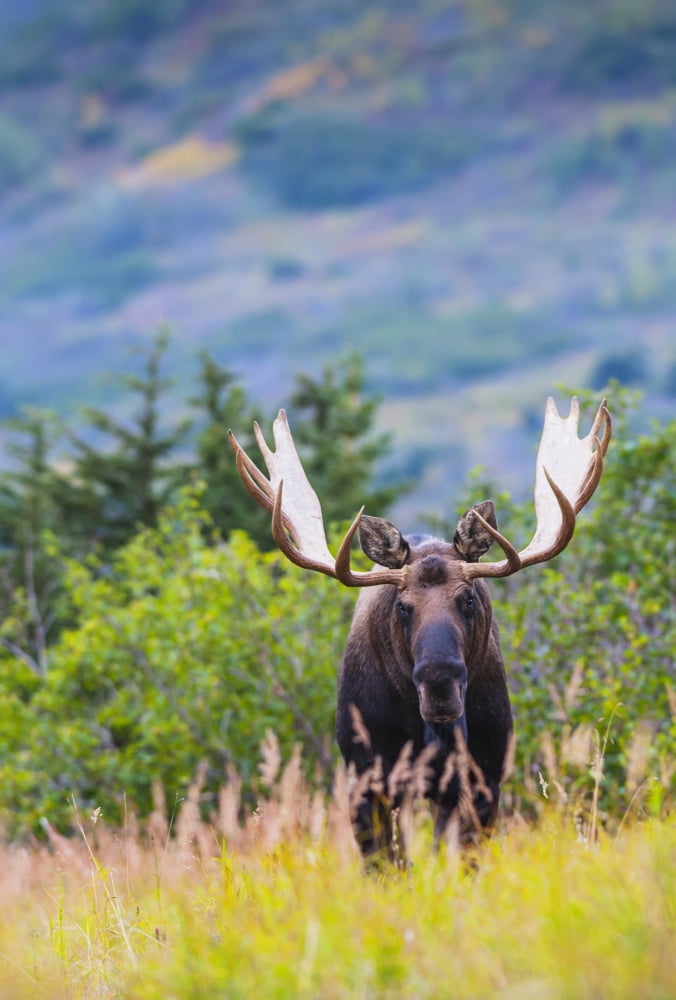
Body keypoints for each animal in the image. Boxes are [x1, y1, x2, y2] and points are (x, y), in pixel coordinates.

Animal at [229, 396, 611, 863]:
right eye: (402, 606)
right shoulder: (367, 780)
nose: (439, 684)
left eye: (468, 598)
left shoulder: (482, 778)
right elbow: (387, 866)